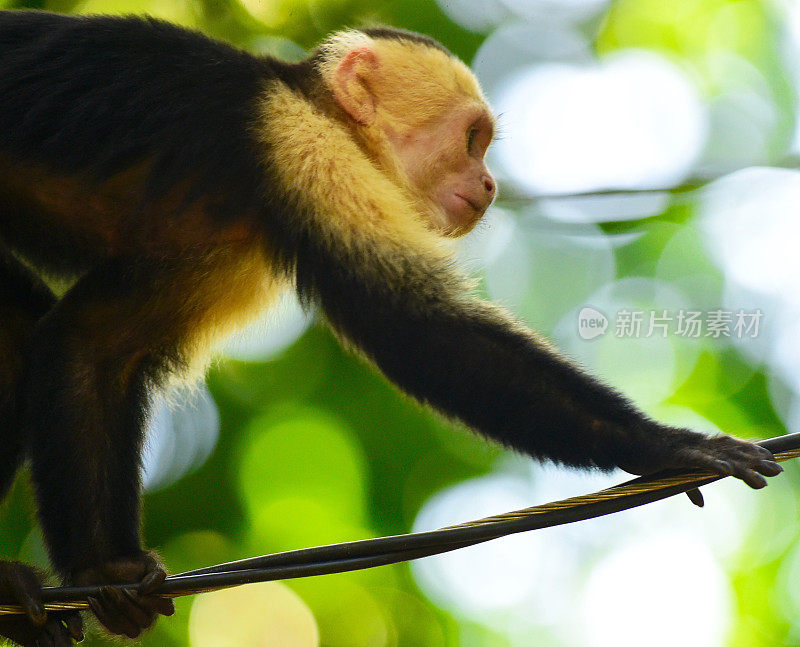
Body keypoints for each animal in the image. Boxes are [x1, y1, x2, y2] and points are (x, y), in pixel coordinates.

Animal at [0, 8, 780, 644]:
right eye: (472, 140)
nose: (491, 185)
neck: (315, 108)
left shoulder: (238, 241)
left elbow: (93, 344)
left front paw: (104, 570)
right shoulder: (302, 148)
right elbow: (415, 328)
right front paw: (668, 445)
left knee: (28, 329)